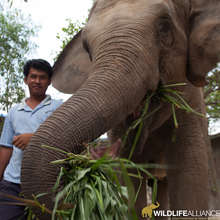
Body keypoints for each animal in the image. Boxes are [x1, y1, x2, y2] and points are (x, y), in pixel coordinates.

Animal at [21, 0, 220, 218]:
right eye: (87, 48)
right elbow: (128, 179)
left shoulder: (192, 103)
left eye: (164, 27)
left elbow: (189, 178)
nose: (69, 200)